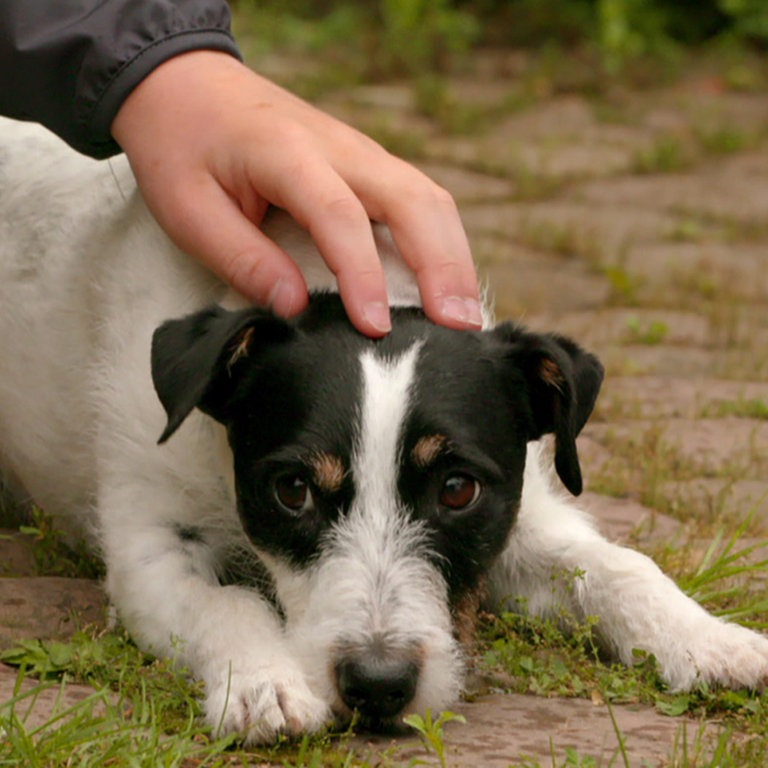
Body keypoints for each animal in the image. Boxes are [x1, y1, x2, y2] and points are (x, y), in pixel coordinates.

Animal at [1, 118, 768, 744]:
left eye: (457, 489)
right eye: (292, 490)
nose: (377, 687)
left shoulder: (524, 523)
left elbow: (620, 567)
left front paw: (711, 642)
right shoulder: (151, 548)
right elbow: (229, 601)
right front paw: (264, 683)